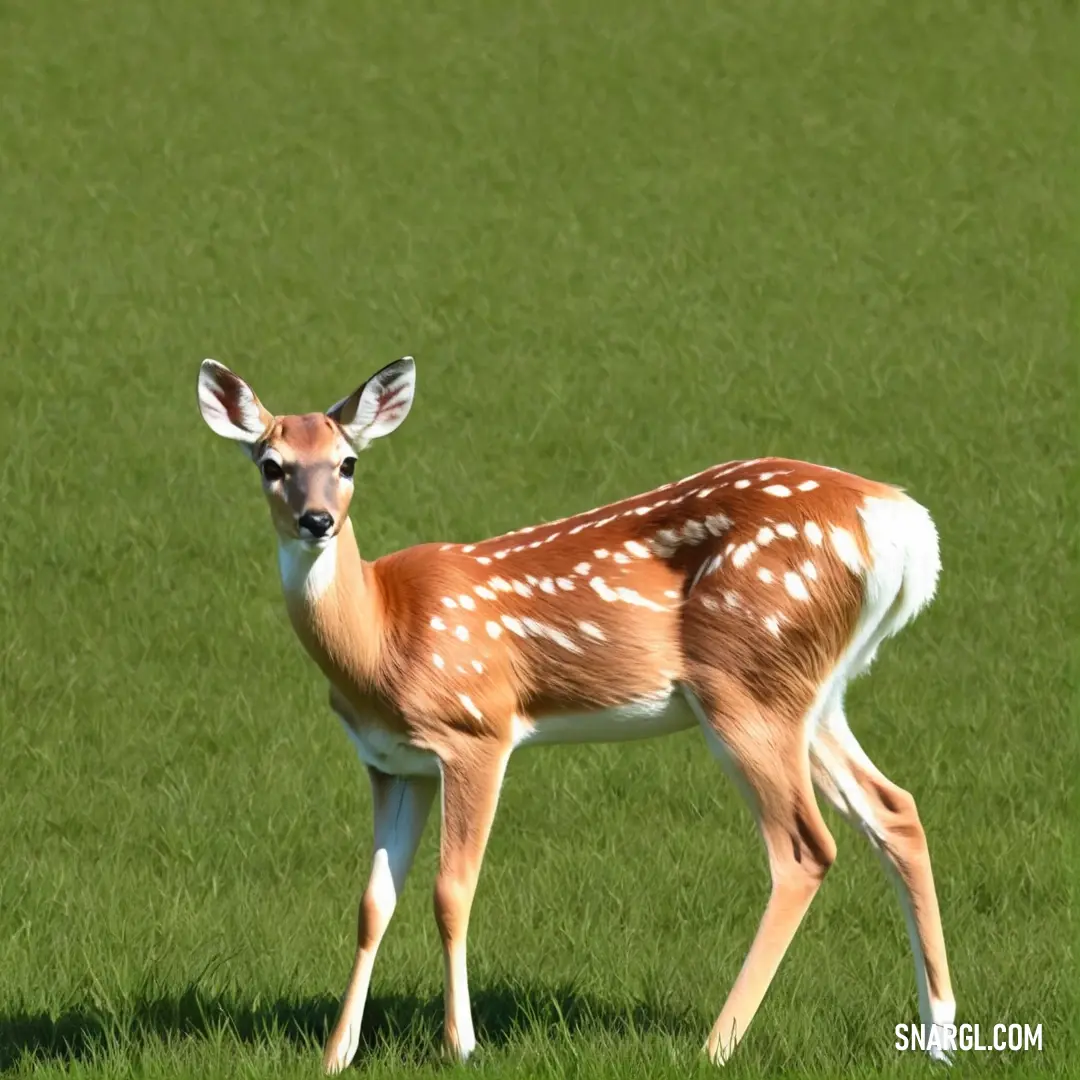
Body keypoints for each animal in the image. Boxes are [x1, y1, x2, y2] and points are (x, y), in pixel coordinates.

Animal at [198, 356, 959, 1071]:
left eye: (348, 461)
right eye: (271, 464)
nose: (317, 520)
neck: (380, 637)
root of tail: (899, 523)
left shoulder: (478, 729)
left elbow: (451, 891)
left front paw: (461, 1045)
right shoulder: (392, 763)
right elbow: (371, 904)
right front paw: (336, 1053)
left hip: (748, 681)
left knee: (804, 849)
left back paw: (715, 1045)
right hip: (813, 693)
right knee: (895, 809)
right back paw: (938, 1033)